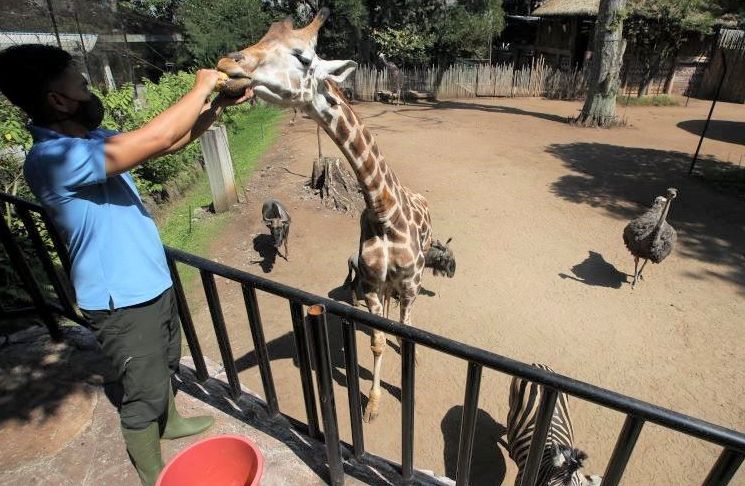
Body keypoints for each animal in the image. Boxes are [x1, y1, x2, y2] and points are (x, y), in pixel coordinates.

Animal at [215, 7, 434, 420]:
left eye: (302, 57)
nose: (226, 64)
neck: (384, 210)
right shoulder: (371, 286)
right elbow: (376, 341)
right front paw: (372, 406)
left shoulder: (410, 285)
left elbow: (407, 332)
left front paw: (405, 383)